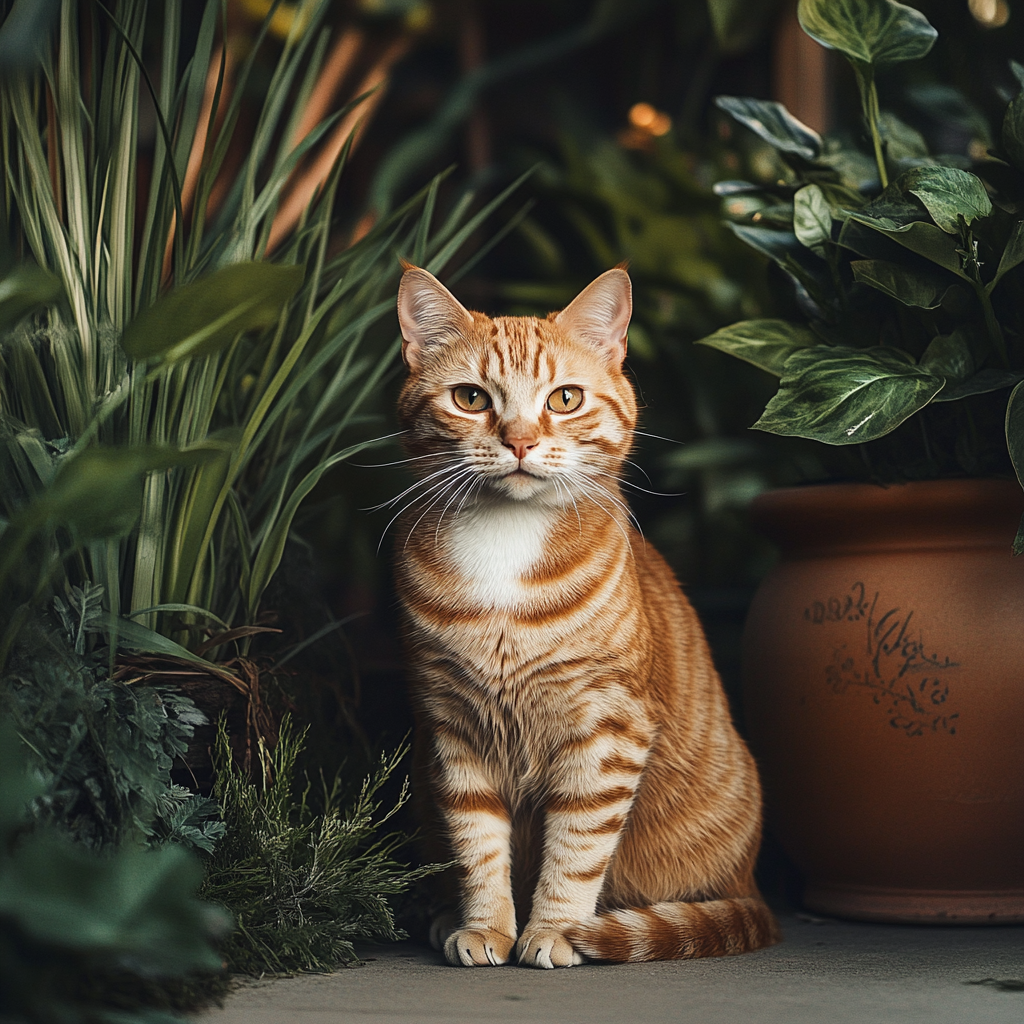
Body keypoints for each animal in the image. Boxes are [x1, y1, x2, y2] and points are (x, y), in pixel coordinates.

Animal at [391, 264, 774, 966]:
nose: (519, 441)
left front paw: (555, 931)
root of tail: (754, 887)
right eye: (471, 398)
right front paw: (487, 926)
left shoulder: (606, 732)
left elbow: (576, 848)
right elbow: (476, 844)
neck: (505, 545)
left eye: (564, 399)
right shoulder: (453, 728)